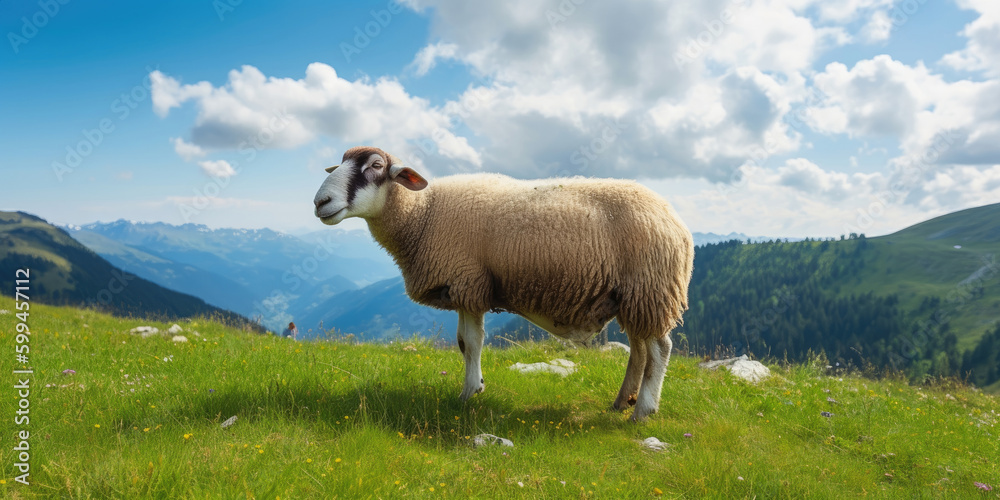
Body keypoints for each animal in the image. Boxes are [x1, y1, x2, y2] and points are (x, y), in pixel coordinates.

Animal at [313, 146, 694, 421]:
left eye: (376, 165)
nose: (320, 202)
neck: (423, 213)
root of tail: (676, 221)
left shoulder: (468, 283)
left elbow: (471, 342)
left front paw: (468, 393)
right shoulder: (464, 287)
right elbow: (463, 344)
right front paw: (474, 387)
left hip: (651, 288)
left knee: (660, 349)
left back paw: (643, 411)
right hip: (634, 296)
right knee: (640, 350)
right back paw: (621, 402)